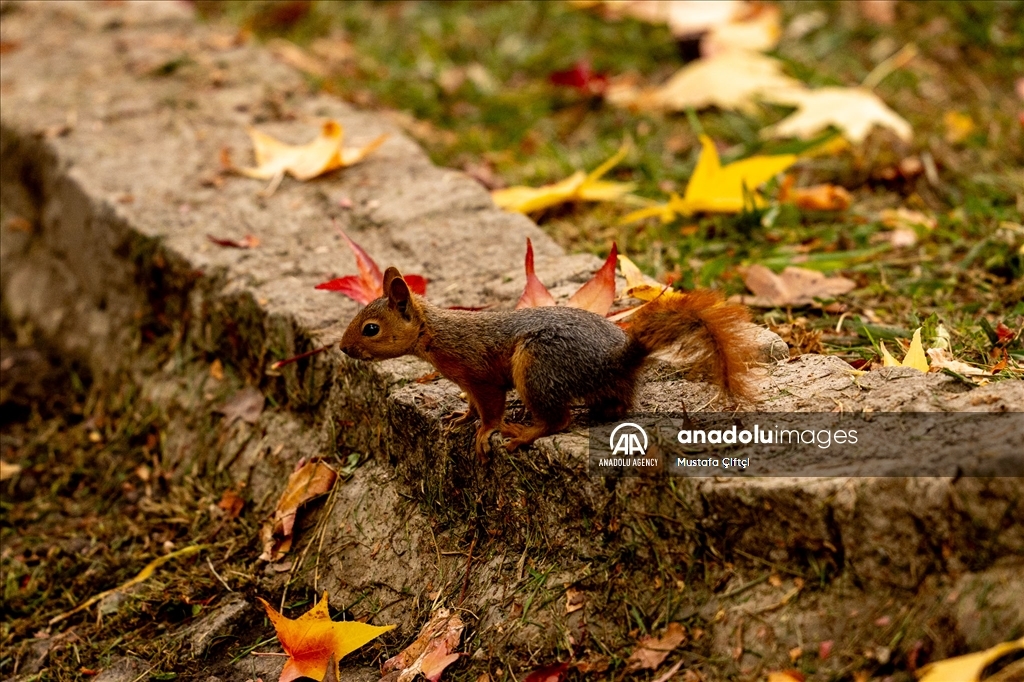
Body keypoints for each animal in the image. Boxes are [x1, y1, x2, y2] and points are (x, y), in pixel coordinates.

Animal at [344, 268, 761, 454]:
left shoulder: (480, 375)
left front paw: (484, 432)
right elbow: (471, 405)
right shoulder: (467, 384)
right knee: (615, 406)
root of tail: (613, 361)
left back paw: (523, 433)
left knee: (558, 420)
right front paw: (461, 417)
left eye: (370, 329)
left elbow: (490, 408)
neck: (435, 333)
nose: (344, 349)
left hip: (538, 366)